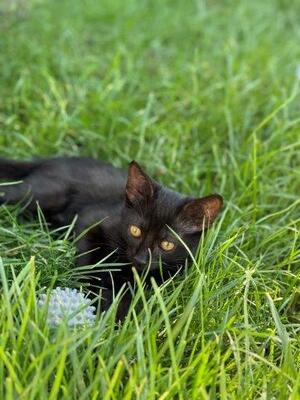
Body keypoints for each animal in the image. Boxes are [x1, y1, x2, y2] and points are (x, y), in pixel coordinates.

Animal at [0, 156, 223, 318]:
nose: (141, 259)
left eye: (167, 244)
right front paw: (91, 294)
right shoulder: (90, 221)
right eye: (135, 231)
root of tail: (51, 159)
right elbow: (88, 260)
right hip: (41, 194)